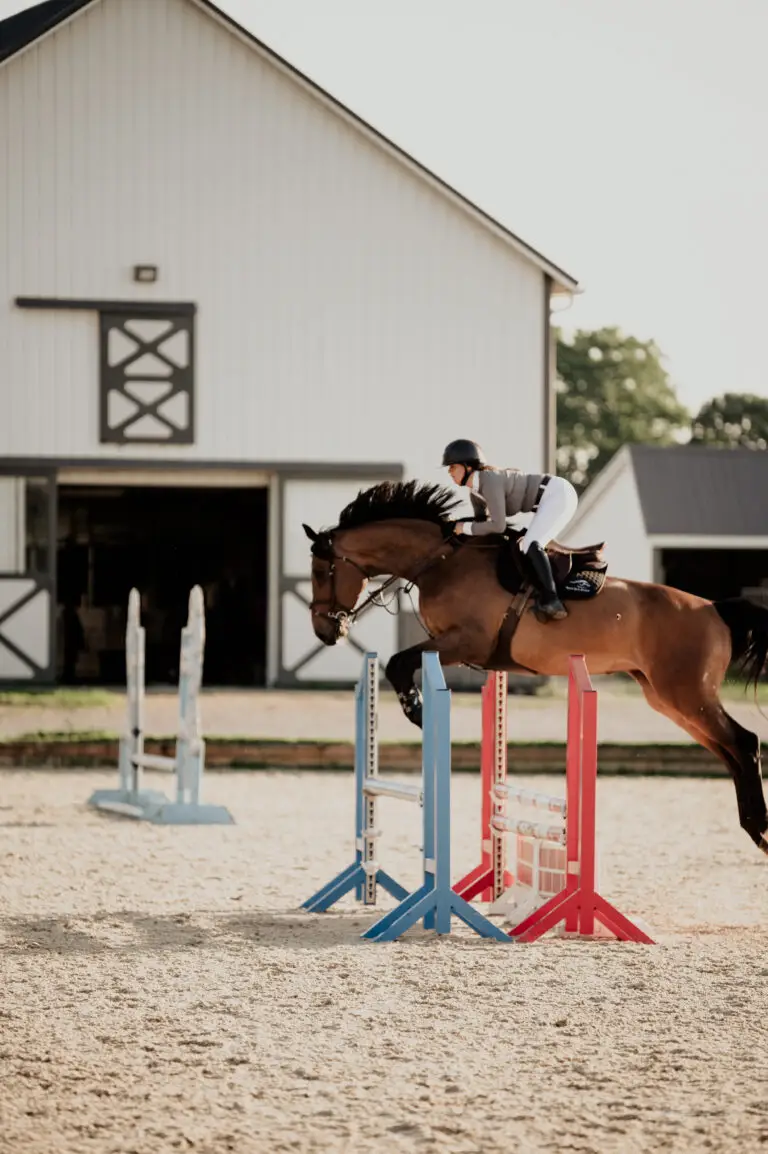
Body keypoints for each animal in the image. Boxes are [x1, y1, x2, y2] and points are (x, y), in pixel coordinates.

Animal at [302, 479, 768, 858]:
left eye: (321, 571)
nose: (325, 631)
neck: (440, 561)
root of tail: (714, 609)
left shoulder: (464, 641)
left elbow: (399, 663)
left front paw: (416, 709)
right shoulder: (453, 646)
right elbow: (401, 664)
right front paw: (417, 709)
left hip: (687, 694)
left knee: (743, 742)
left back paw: (759, 828)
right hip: (667, 699)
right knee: (729, 750)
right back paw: (754, 828)